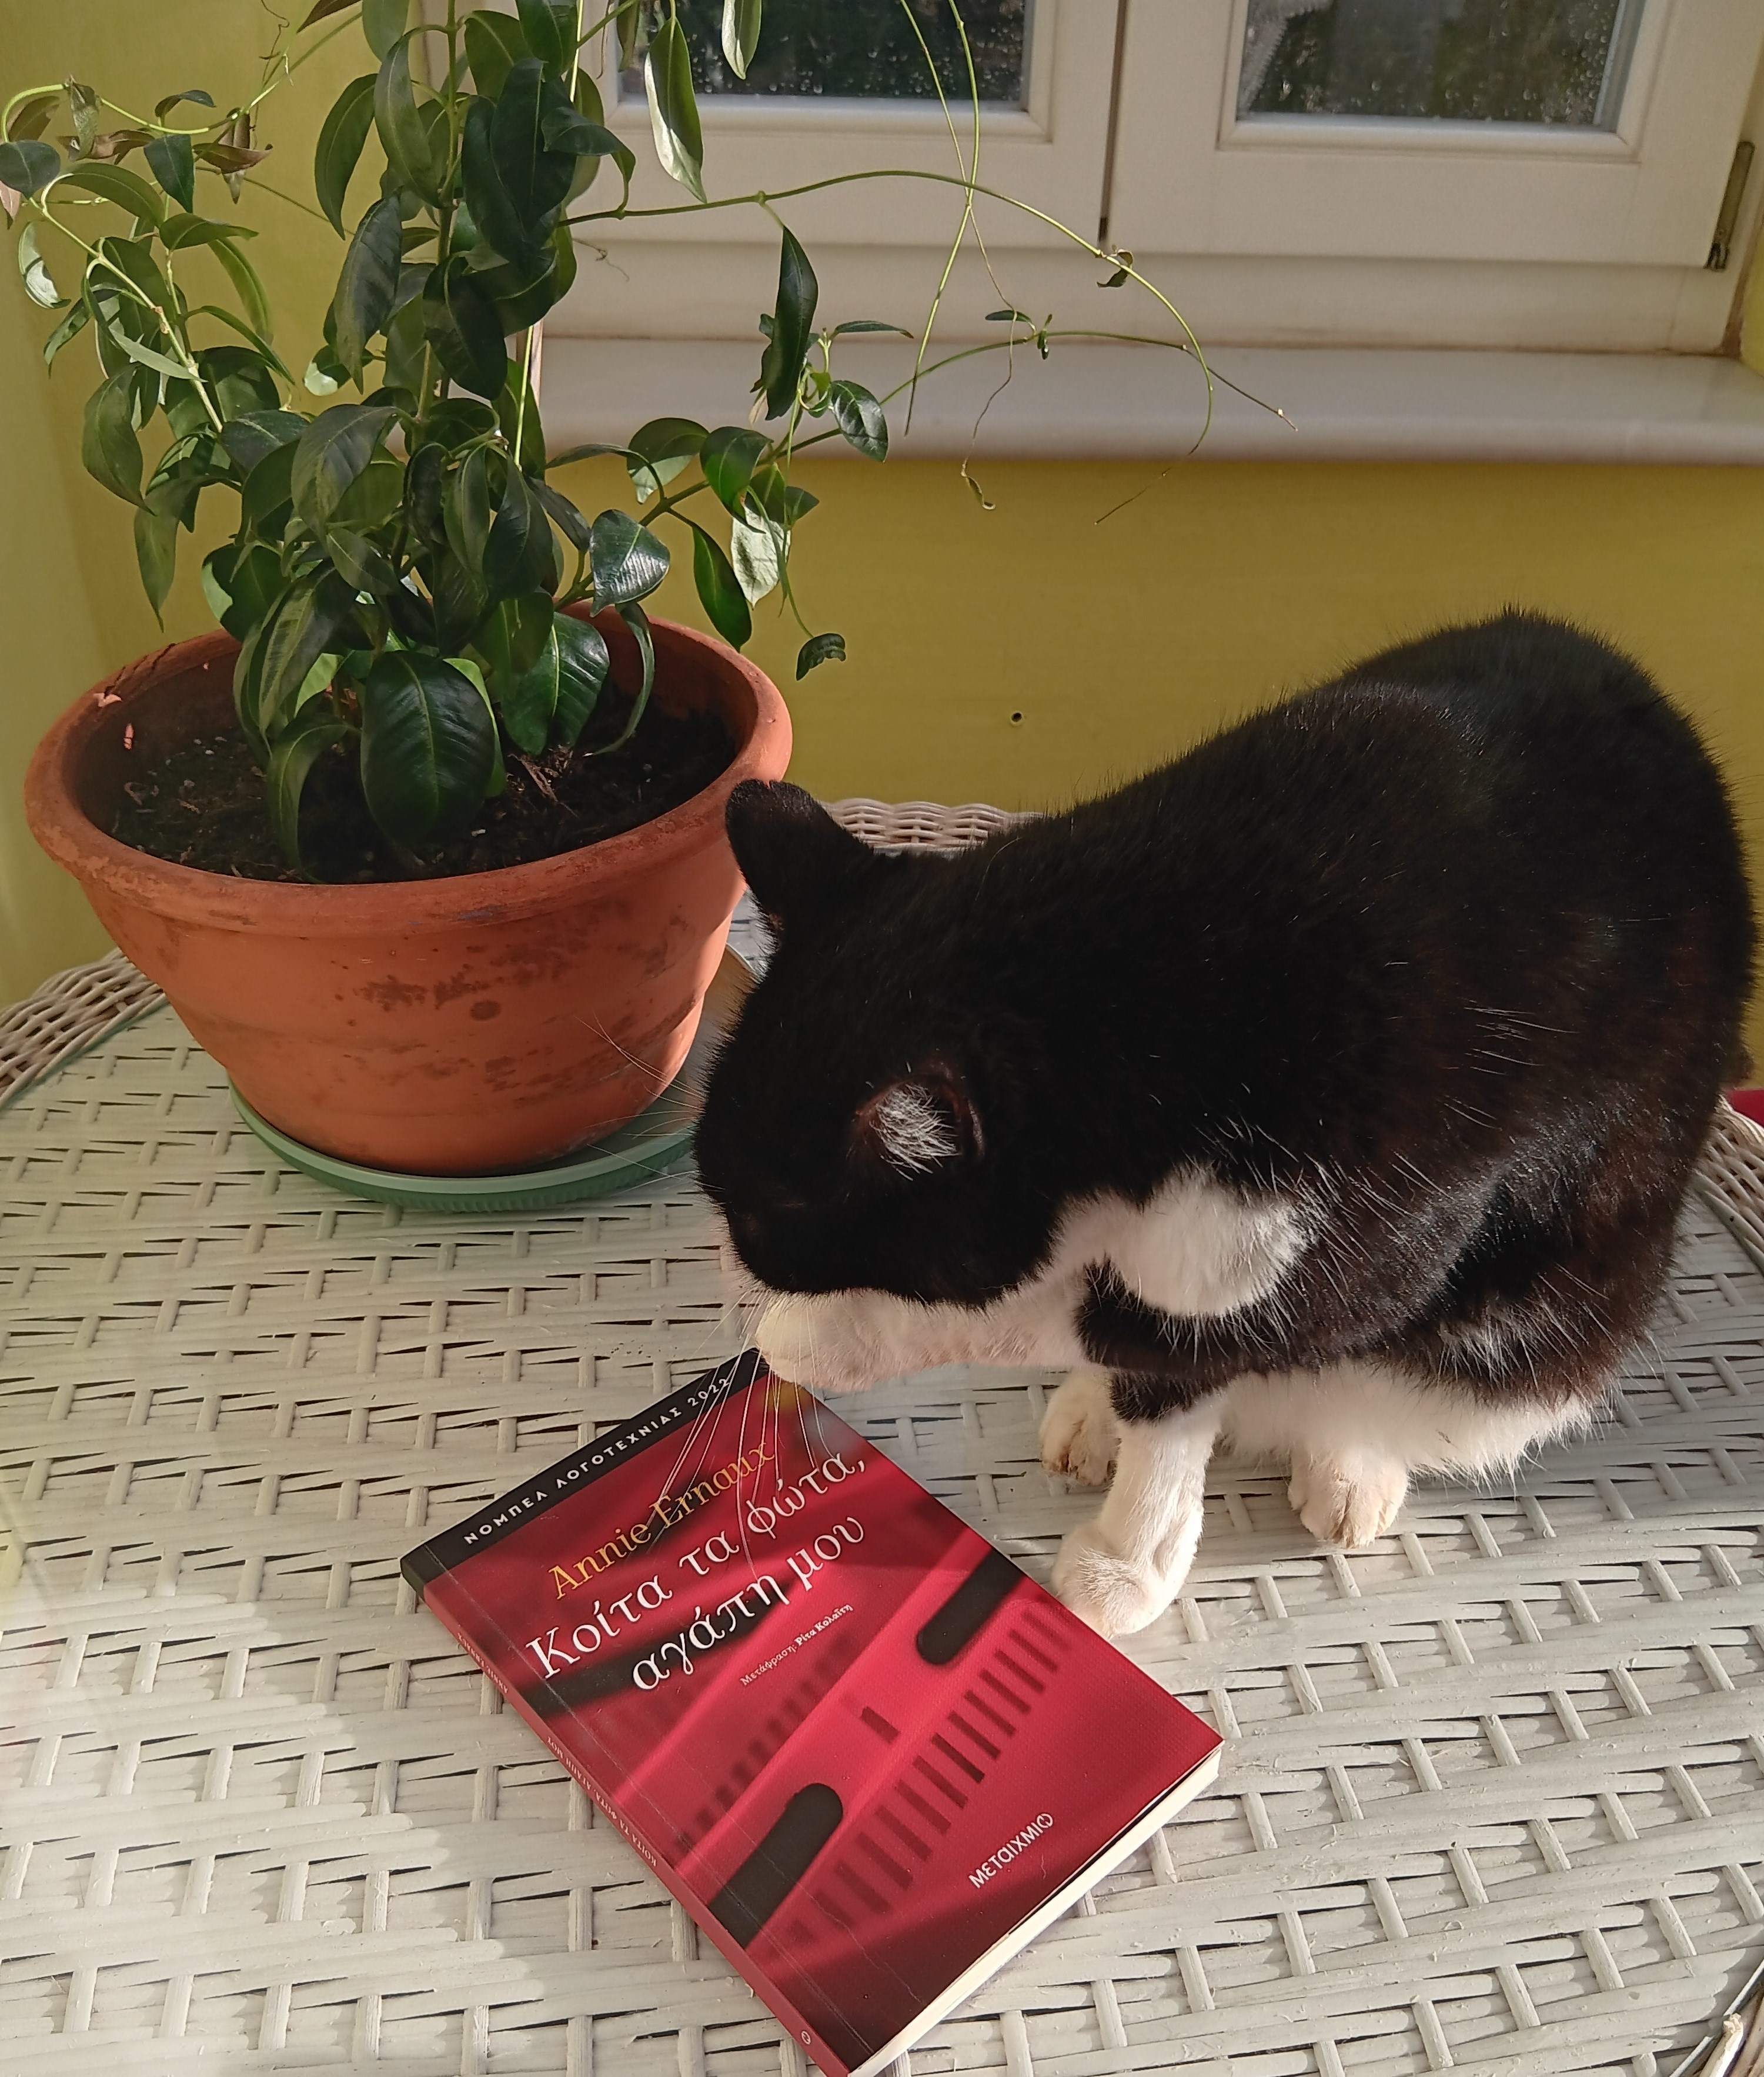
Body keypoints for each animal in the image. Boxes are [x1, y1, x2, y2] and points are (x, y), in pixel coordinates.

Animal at [694, 613, 1754, 1638]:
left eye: (758, 1220)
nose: (734, 1275)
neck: (1153, 987)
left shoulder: (1353, 1248)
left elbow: (1102, 1333)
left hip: (1549, 1326)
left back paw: (1347, 1467)